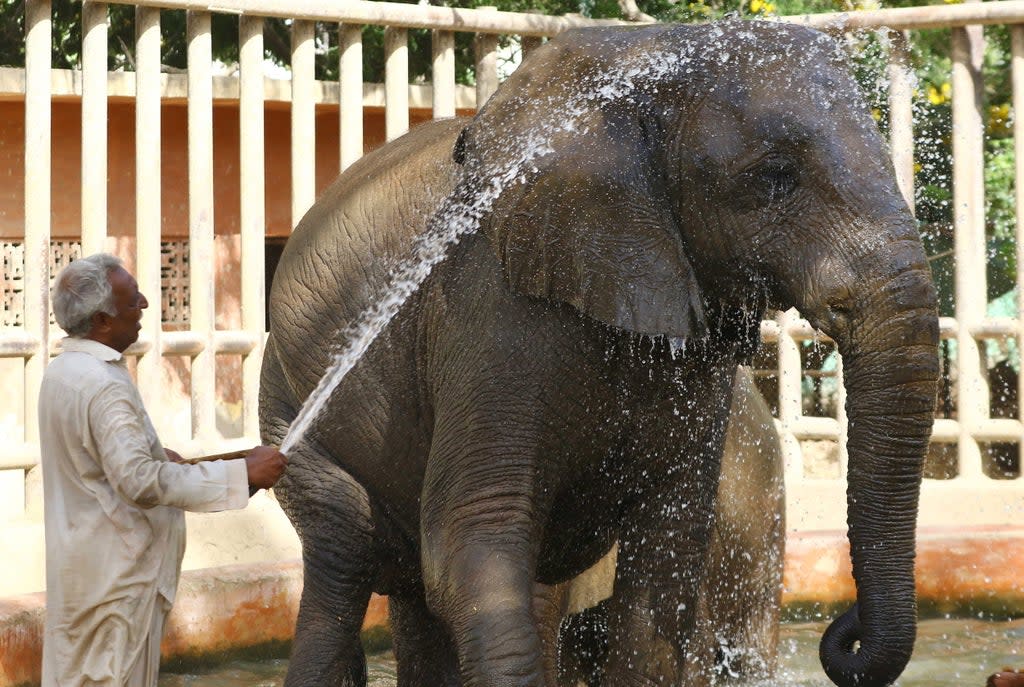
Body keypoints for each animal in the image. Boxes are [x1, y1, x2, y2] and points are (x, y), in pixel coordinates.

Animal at [260, 20, 937, 687]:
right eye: (774, 176)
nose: (845, 628)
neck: (646, 53)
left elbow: (668, 556)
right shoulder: (490, 314)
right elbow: (472, 542)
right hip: (287, 411)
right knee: (346, 554)